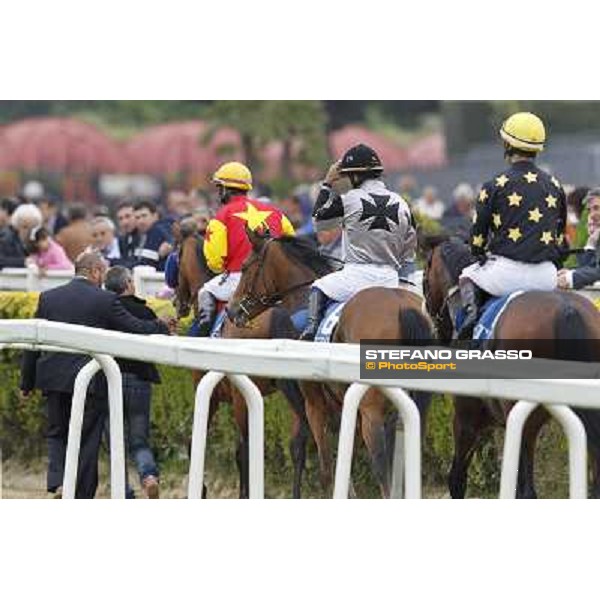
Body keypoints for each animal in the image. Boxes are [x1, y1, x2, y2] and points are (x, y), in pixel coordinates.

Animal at [176, 227, 312, 500]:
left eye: (175, 258)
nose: (177, 302)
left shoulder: (213, 394)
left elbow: (201, 442)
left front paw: (202, 490)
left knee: (252, 445)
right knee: (298, 441)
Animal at [227, 234, 434, 496]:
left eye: (244, 267)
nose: (231, 310)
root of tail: (402, 308)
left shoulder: (315, 403)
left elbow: (326, 471)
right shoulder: (346, 407)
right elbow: (345, 467)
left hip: (372, 412)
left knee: (382, 473)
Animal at [422, 234, 600, 496]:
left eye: (425, 276)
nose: (437, 329)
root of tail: (567, 311)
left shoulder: (468, 416)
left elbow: (457, 479)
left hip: (524, 416)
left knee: (527, 492)